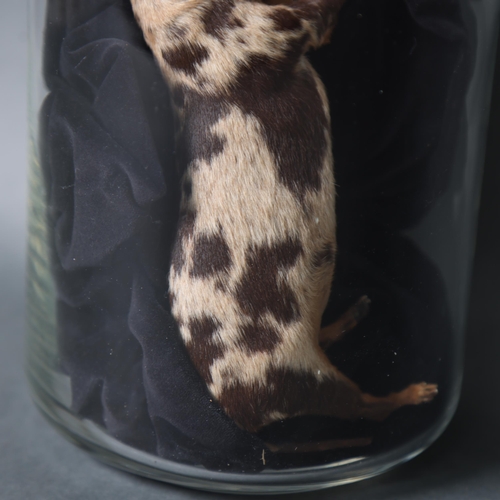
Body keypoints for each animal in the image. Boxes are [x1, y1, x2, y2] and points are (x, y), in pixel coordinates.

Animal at [130, 0, 438, 450]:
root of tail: (242, 419)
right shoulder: (279, 29)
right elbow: (315, 16)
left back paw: (356, 312)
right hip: (306, 378)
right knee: (367, 408)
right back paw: (416, 392)